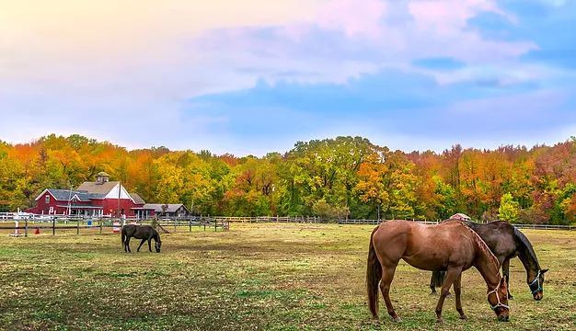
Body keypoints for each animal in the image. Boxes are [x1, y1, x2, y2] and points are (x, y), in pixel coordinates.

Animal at [368, 220, 508, 324]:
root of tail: (380, 226)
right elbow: (445, 290)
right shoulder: (453, 269)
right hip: (389, 266)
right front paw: (439, 315)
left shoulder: (458, 270)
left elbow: (457, 290)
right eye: (504, 296)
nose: (506, 317)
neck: (469, 240)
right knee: (384, 287)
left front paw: (462, 313)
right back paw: (394, 315)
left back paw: (375, 315)